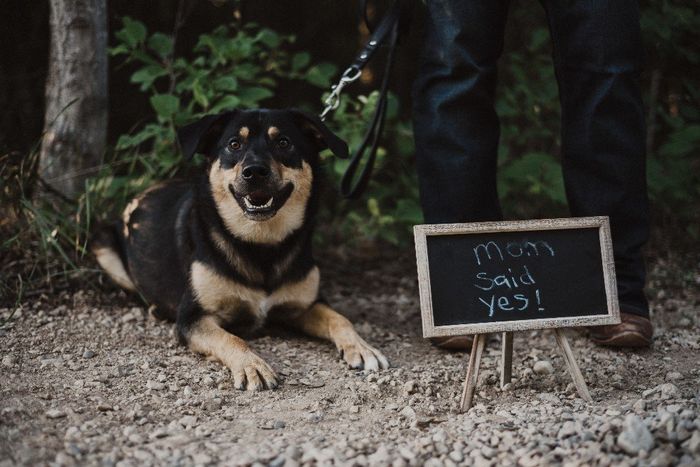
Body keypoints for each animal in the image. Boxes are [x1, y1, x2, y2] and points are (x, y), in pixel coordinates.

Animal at [91, 109, 392, 392]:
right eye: (234, 144)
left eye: (283, 142)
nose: (254, 171)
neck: (260, 244)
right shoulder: (193, 317)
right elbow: (231, 338)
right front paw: (252, 366)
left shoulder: (306, 304)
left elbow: (340, 319)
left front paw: (362, 347)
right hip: (103, 245)